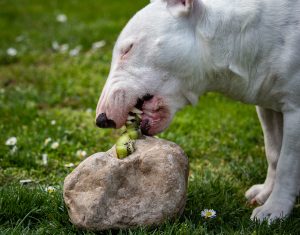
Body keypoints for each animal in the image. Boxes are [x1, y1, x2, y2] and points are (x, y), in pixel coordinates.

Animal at [95, 0, 300, 223]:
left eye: (128, 49)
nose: (101, 120)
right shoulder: (267, 105)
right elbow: (273, 152)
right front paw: (265, 193)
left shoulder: (295, 111)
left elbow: (287, 164)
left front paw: (274, 210)